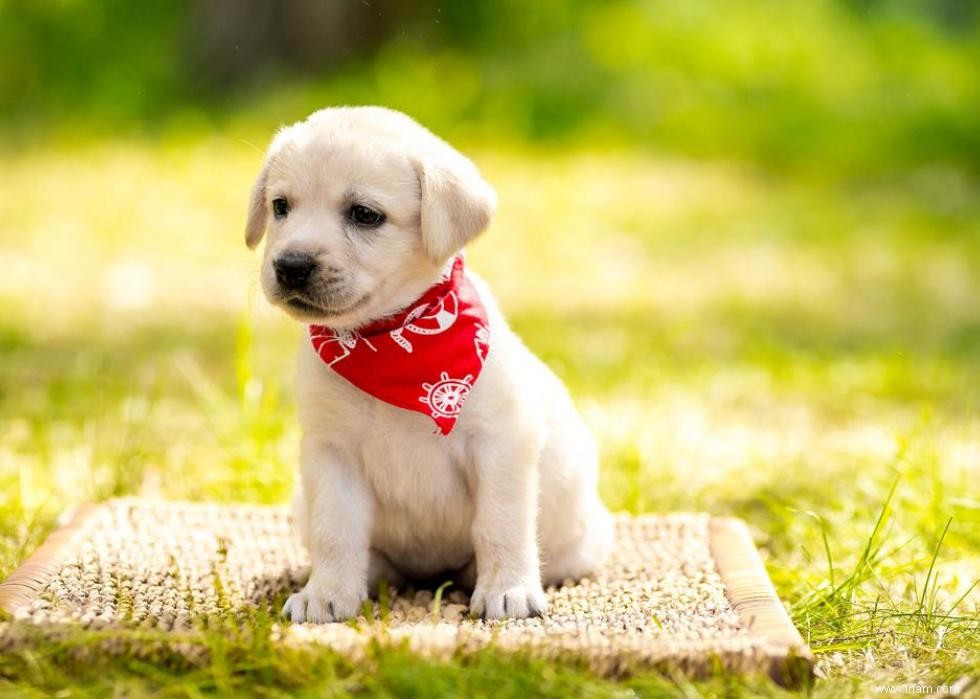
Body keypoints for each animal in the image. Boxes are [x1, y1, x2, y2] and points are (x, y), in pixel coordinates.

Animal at [245, 106, 612, 620]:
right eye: (280, 206)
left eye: (365, 214)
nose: (291, 265)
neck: (387, 344)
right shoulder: (331, 452)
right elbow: (335, 531)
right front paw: (327, 593)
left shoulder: (501, 441)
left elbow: (500, 523)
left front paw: (508, 588)